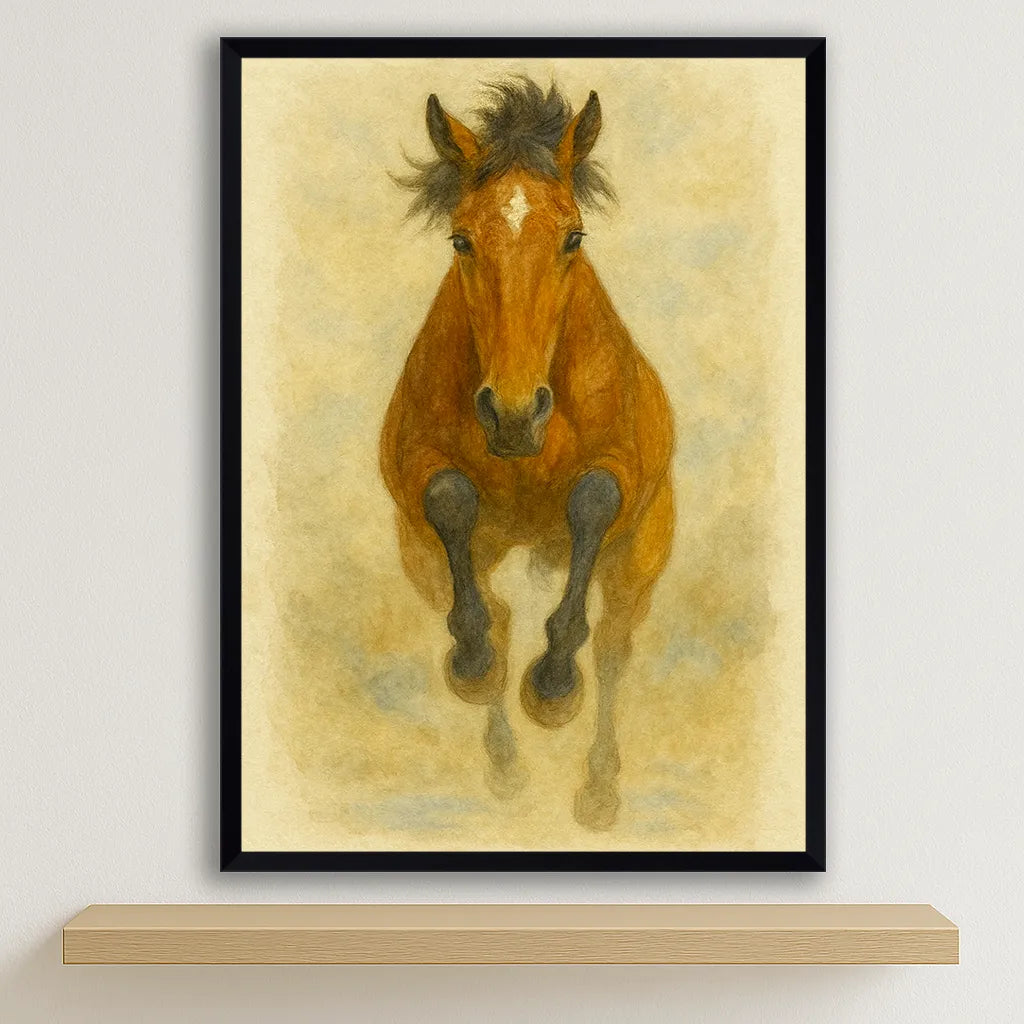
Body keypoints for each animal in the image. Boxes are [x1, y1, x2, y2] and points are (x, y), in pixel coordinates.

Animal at [379, 79, 674, 830]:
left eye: (573, 236)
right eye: (461, 238)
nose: (513, 412)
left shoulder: (622, 470)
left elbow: (593, 499)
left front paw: (553, 685)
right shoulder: (413, 476)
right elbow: (448, 496)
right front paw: (475, 662)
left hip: (641, 557)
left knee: (614, 650)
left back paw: (598, 790)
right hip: (428, 558)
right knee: (498, 616)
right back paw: (504, 754)